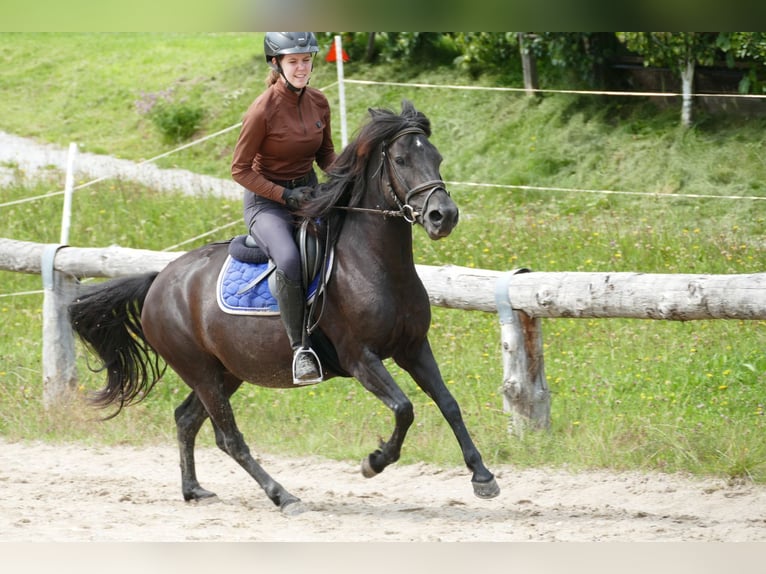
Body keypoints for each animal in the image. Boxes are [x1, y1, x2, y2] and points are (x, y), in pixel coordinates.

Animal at [69, 99, 500, 512]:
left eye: (437, 157)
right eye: (401, 159)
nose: (443, 216)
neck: (375, 265)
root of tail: (159, 279)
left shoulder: (413, 348)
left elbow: (449, 403)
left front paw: (482, 476)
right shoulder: (361, 357)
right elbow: (404, 408)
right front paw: (373, 462)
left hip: (227, 371)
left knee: (187, 419)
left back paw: (193, 489)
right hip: (201, 372)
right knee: (229, 438)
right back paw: (283, 497)